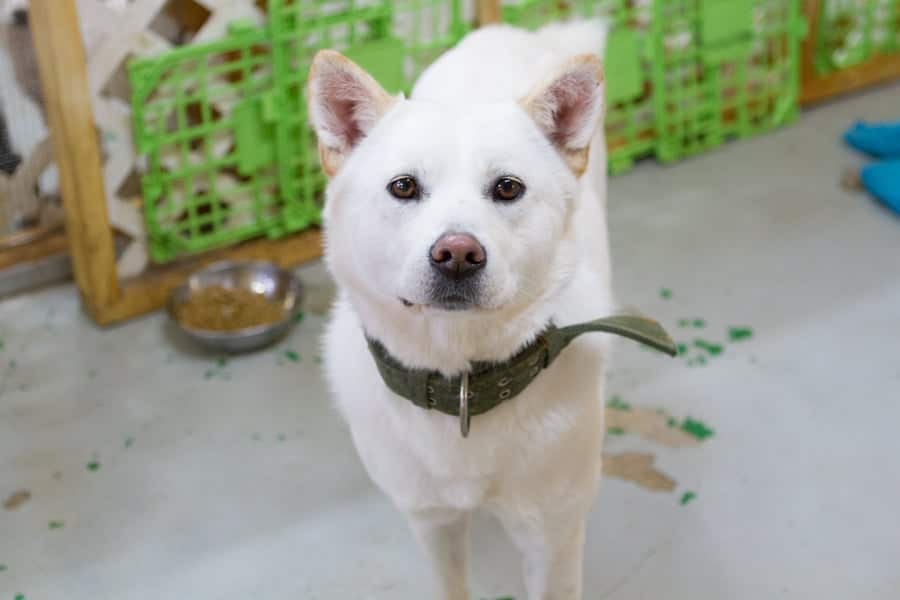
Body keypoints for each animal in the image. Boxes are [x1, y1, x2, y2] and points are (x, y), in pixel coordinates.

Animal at [308, 18, 668, 600]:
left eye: (508, 188)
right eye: (403, 186)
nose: (457, 254)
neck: (461, 387)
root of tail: (516, 31)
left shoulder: (552, 538)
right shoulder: (432, 522)